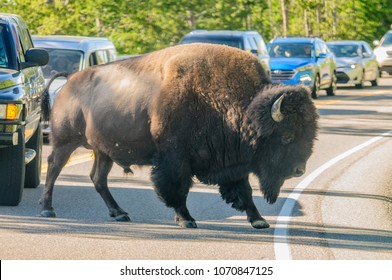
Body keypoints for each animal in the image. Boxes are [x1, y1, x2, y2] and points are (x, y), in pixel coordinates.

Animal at [39, 42, 316, 229]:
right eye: (287, 136)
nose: (298, 170)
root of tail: (71, 78)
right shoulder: (175, 158)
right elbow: (178, 189)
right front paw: (186, 219)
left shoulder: (231, 161)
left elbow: (244, 191)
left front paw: (259, 220)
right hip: (65, 141)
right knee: (53, 167)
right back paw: (47, 210)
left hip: (102, 150)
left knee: (98, 179)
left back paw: (120, 213)